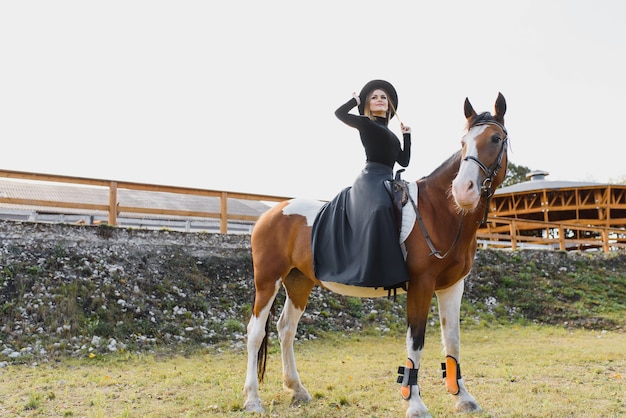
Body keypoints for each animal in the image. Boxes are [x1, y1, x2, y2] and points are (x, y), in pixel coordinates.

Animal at [241, 93, 504, 416]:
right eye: (463, 142)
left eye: (495, 138)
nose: (463, 191)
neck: (438, 211)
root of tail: (271, 213)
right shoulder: (421, 285)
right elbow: (416, 341)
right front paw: (414, 403)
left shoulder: (452, 286)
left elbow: (452, 341)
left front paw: (463, 398)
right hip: (268, 281)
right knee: (256, 332)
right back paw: (253, 399)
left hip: (299, 283)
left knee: (286, 329)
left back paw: (297, 389)